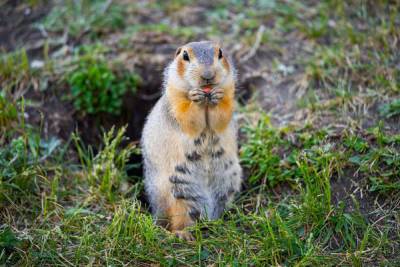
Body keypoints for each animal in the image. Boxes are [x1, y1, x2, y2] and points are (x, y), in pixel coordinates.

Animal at [141, 41, 241, 241]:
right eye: (185, 56)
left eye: (220, 53)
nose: (208, 75)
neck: (206, 101)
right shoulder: (175, 97)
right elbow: (187, 115)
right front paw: (195, 99)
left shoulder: (229, 91)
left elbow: (222, 114)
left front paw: (217, 97)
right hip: (179, 192)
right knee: (180, 220)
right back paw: (184, 234)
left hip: (228, 182)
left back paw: (221, 223)